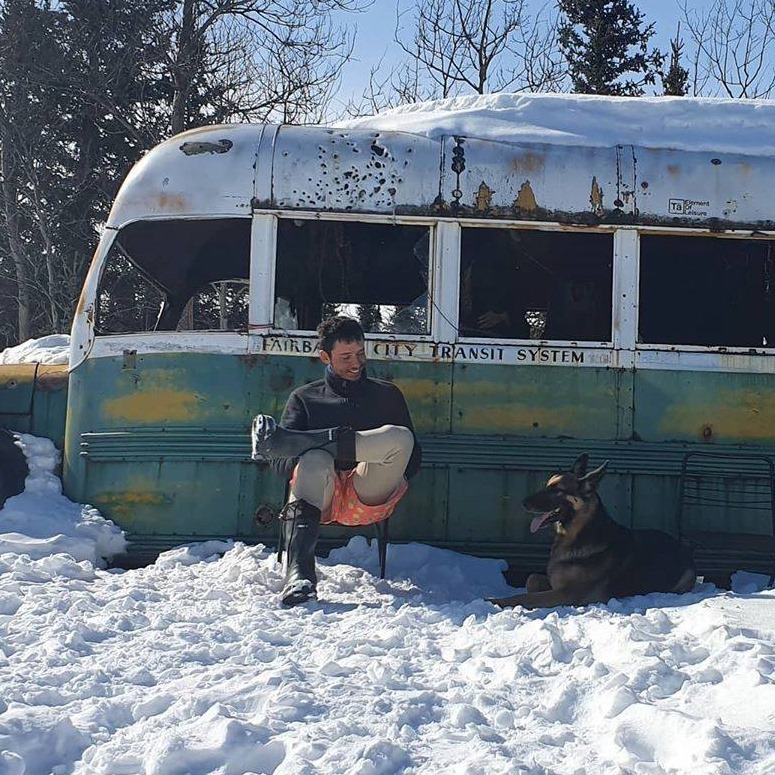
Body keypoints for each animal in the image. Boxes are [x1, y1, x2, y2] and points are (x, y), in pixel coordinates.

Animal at [494, 454, 700, 612]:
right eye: (547, 485)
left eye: (557, 490)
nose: (523, 502)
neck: (578, 534)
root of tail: (682, 547)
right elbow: (531, 579)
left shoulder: (568, 594)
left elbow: (524, 597)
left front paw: (495, 601)